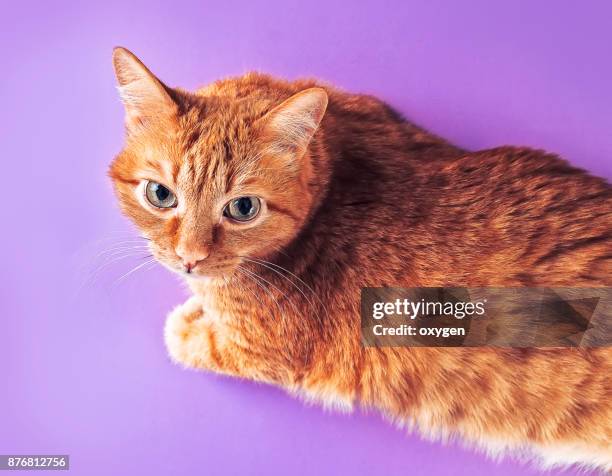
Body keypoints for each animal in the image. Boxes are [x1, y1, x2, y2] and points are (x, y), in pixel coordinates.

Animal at [110, 48, 612, 472]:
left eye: (243, 208)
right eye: (160, 195)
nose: (189, 259)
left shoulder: (258, 351)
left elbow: (189, 339)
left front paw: (187, 317)